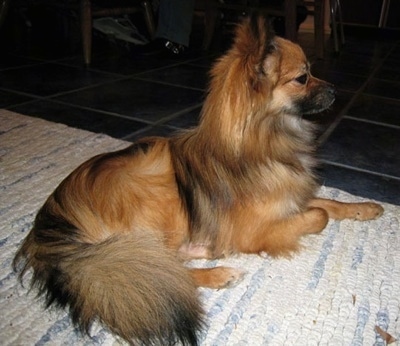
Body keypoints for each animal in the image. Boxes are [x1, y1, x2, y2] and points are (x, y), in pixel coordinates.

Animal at [13, 14, 384, 346]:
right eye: (303, 77)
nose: (335, 90)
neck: (266, 139)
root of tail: (47, 230)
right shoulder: (257, 229)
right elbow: (319, 216)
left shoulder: (292, 195)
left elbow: (330, 202)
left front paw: (367, 208)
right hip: (154, 190)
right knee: (159, 270)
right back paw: (219, 272)